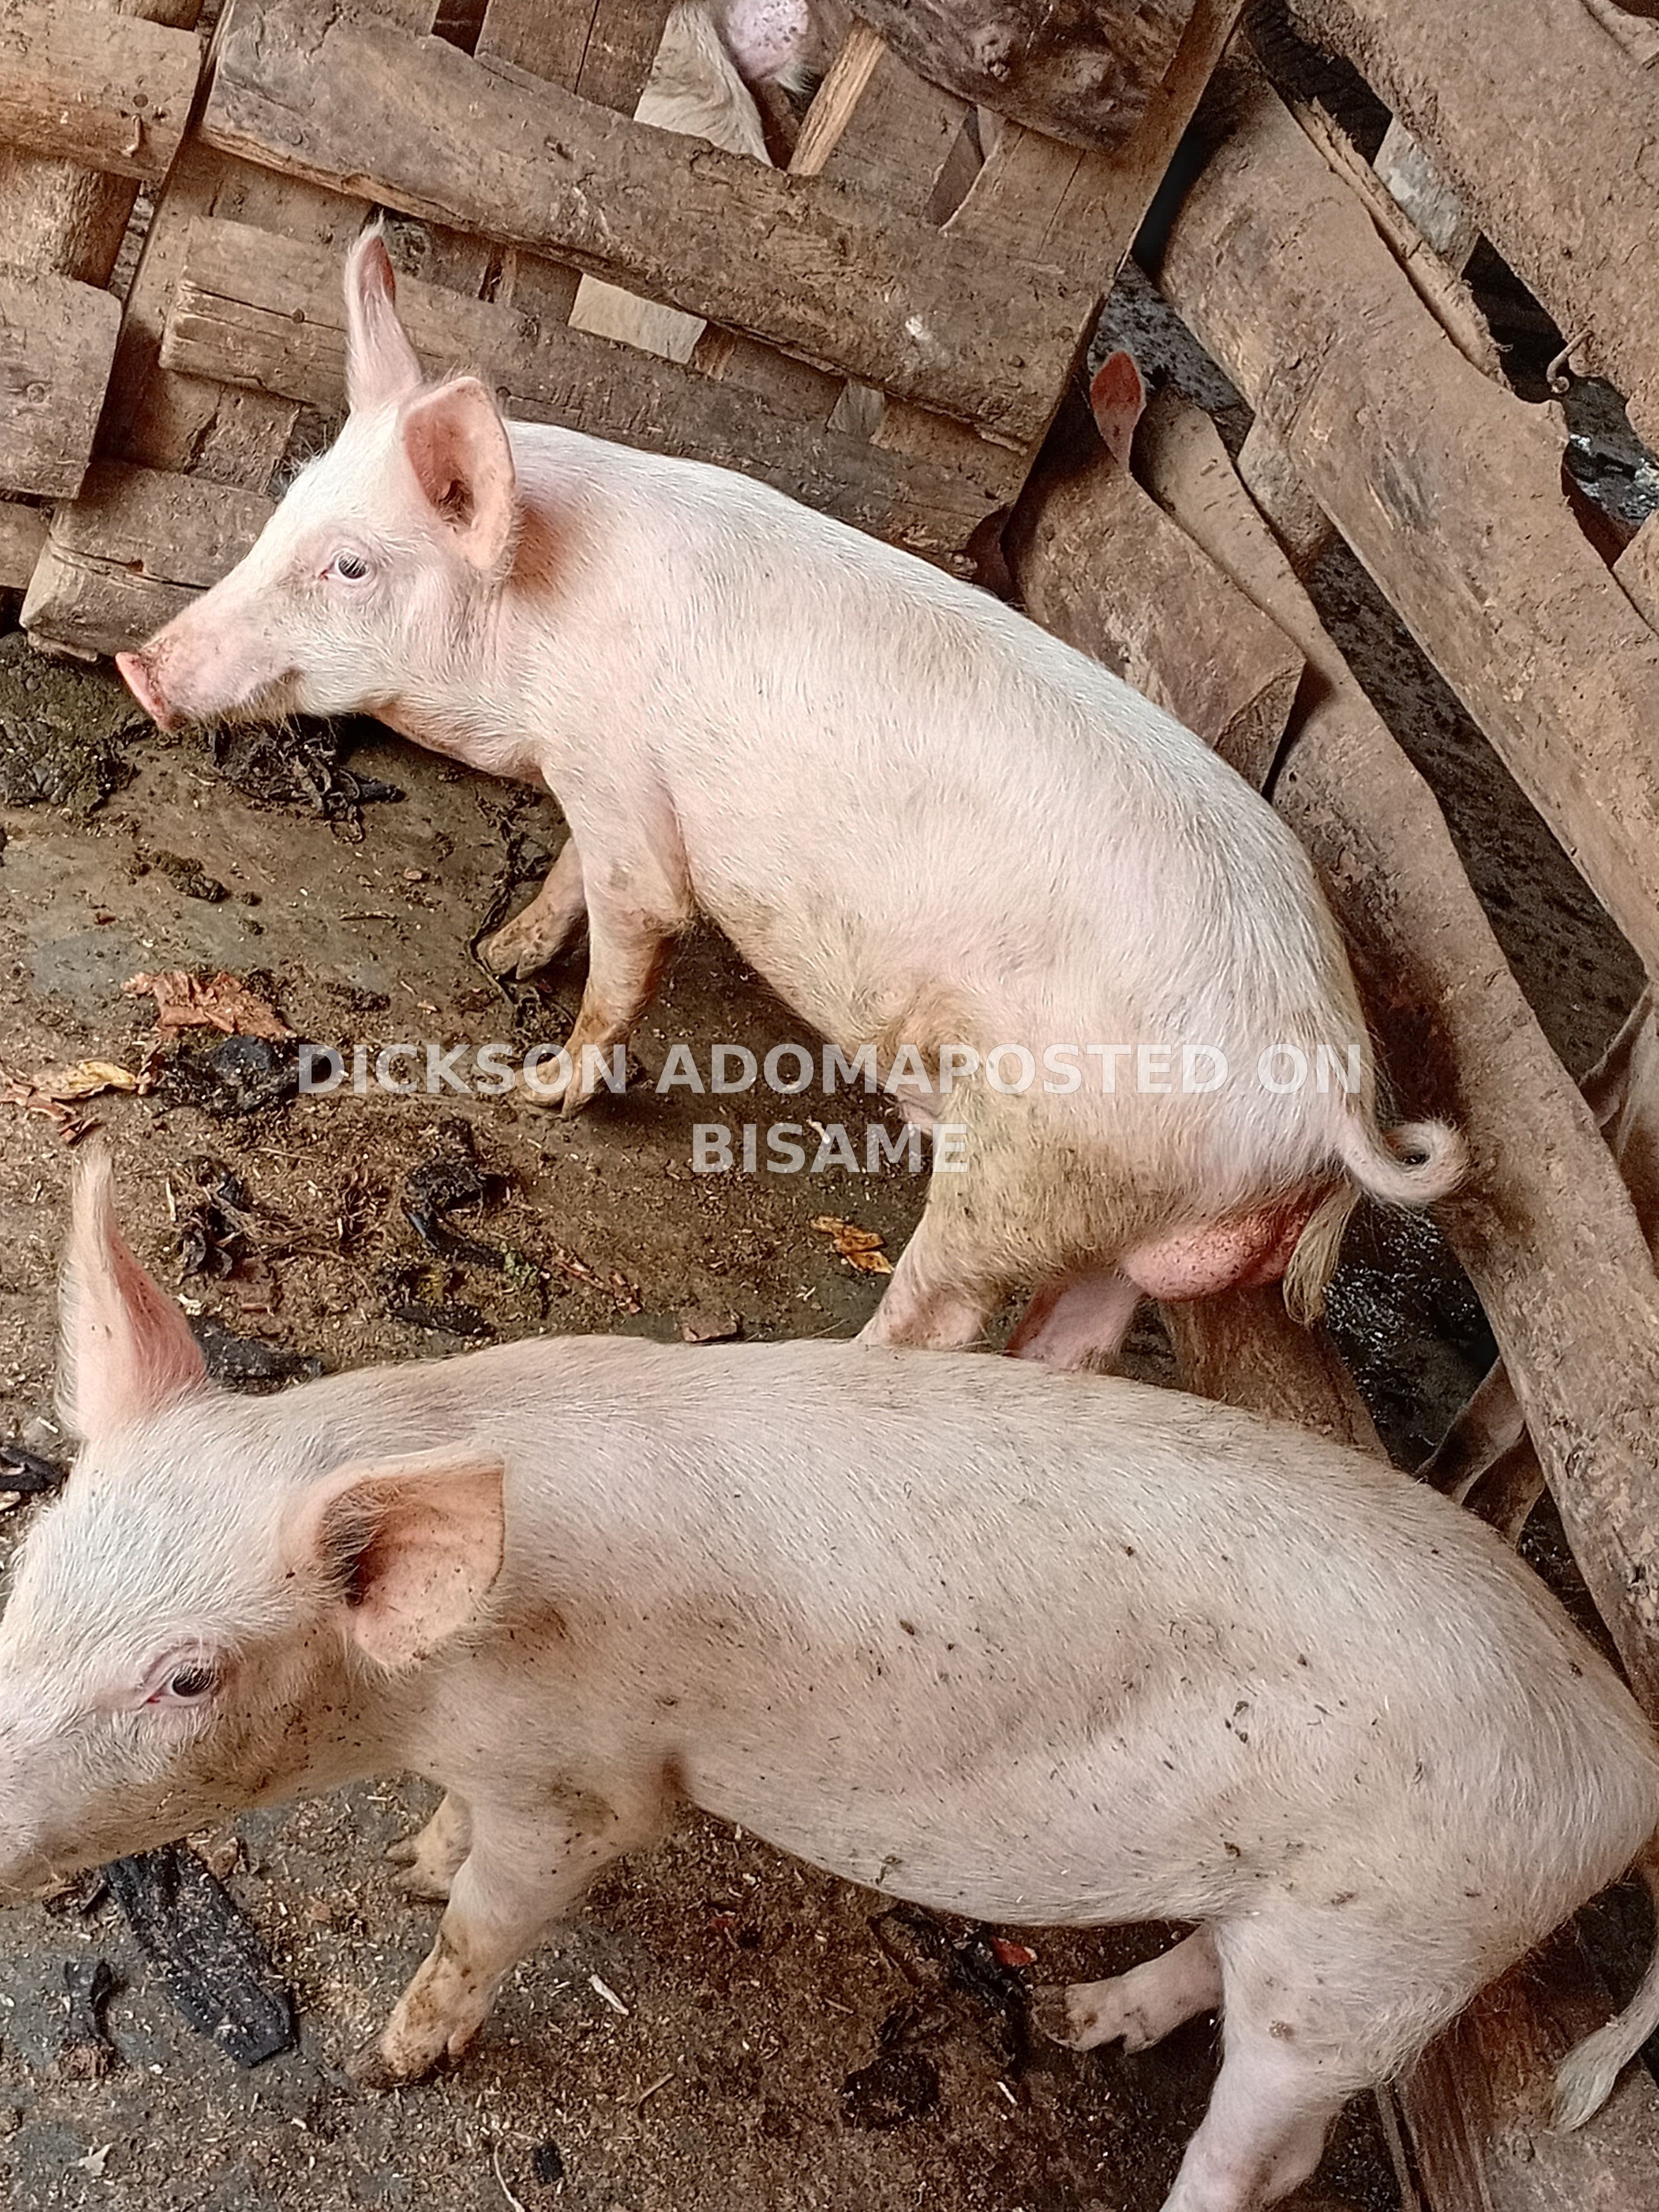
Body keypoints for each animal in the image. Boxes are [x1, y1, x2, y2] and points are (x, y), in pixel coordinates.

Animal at [3, 1149, 1657, 2212]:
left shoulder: (597, 1787)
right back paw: (1075, 2020)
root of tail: (1618, 1741)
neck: (439, 1682)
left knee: (1271, 2152)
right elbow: (450, 1848)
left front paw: (400, 2049)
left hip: (1390, 1942)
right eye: (33, 1564)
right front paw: (411, 1861)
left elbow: (490, 1921)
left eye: (187, 1678)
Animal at [115, 231, 1464, 1370]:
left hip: (1035, 1161)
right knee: (1071, 1340)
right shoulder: (596, 780)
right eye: (285, 508)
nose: (140, 662)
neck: (541, 626)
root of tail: (1336, 1088)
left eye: (350, 567)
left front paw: (538, 1086)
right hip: (1127, 1213)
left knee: (945, 1314)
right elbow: (570, 873)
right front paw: (501, 951)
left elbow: (634, 931)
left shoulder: (620, 782)